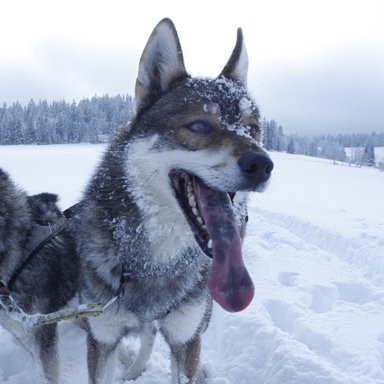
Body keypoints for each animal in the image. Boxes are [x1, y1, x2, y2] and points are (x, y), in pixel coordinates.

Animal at [78, 17, 272, 384]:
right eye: (199, 125)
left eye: (252, 128)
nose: (262, 164)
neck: (157, 261)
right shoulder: (102, 339)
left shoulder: (186, 339)